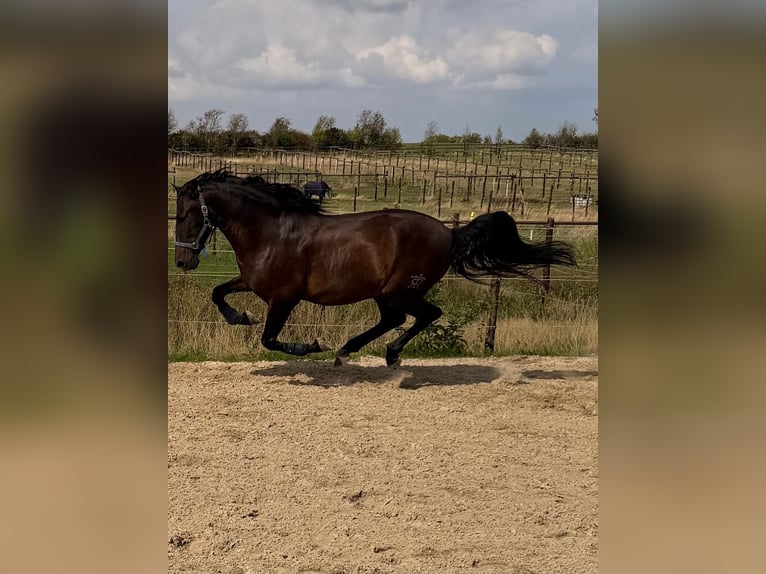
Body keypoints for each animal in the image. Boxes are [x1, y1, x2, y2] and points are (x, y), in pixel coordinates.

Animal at [173, 169, 576, 367]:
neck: (272, 231)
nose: (182, 261)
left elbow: (269, 339)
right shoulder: (253, 283)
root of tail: (449, 232)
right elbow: (218, 293)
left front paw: (312, 345)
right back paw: (348, 351)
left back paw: (387, 354)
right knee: (394, 319)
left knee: (427, 314)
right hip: (386, 293)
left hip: (403, 290)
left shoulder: (284, 298)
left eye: (185, 215)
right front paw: (240, 316)